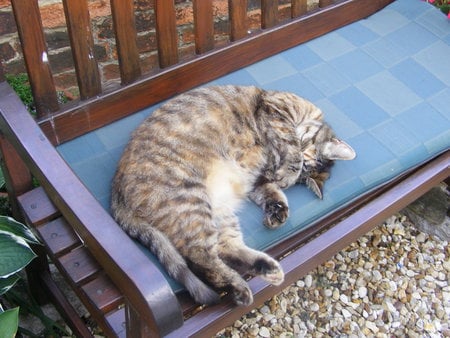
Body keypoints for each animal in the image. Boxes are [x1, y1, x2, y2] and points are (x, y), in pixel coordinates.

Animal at [111, 85, 356, 306]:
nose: (273, 172)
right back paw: (239, 287)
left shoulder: (257, 180)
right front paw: (288, 172)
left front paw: (278, 210)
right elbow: (292, 146)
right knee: (200, 256)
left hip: (216, 210)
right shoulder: (276, 110)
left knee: (223, 247)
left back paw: (266, 270)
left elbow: (270, 192)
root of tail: (116, 190)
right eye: (304, 162)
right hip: (191, 200)